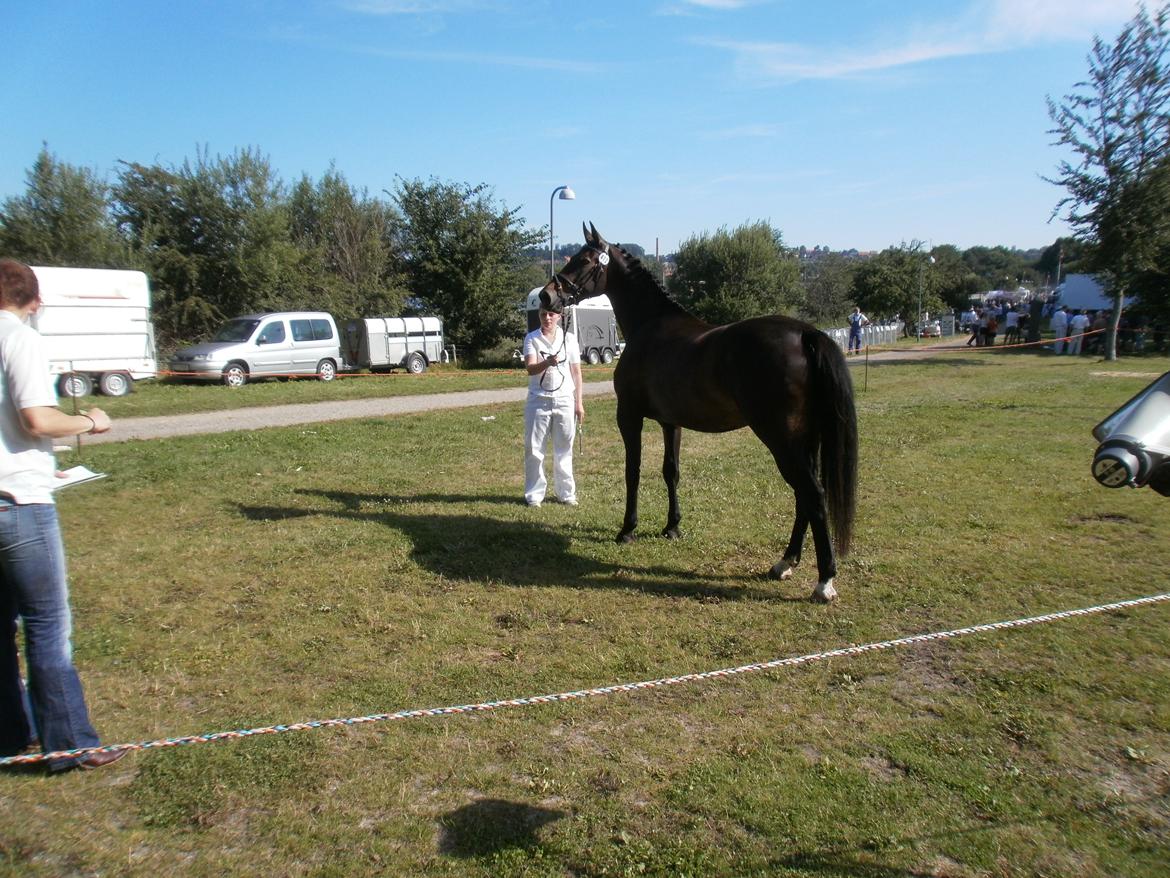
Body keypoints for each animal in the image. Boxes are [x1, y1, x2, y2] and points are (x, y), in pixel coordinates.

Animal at [540, 224, 861, 604]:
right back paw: (785, 563)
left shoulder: (629, 416)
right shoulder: (671, 422)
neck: (651, 326)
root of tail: (805, 333)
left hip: (781, 439)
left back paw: (824, 581)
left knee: (813, 494)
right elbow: (671, 472)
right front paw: (672, 527)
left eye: (586, 260)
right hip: (805, 439)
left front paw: (628, 529)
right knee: (803, 496)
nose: (546, 296)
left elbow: (633, 472)